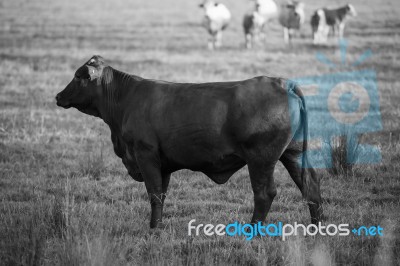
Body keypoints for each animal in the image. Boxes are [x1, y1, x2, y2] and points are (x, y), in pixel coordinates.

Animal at [56, 55, 324, 229]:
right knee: (310, 187)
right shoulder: (162, 164)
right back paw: (317, 228)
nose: (58, 96)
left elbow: (154, 193)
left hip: (261, 159)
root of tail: (283, 83)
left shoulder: (145, 155)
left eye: (78, 76)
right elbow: (161, 194)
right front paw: (158, 225)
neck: (125, 101)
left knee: (264, 193)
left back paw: (253, 232)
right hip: (293, 153)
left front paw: (153, 230)